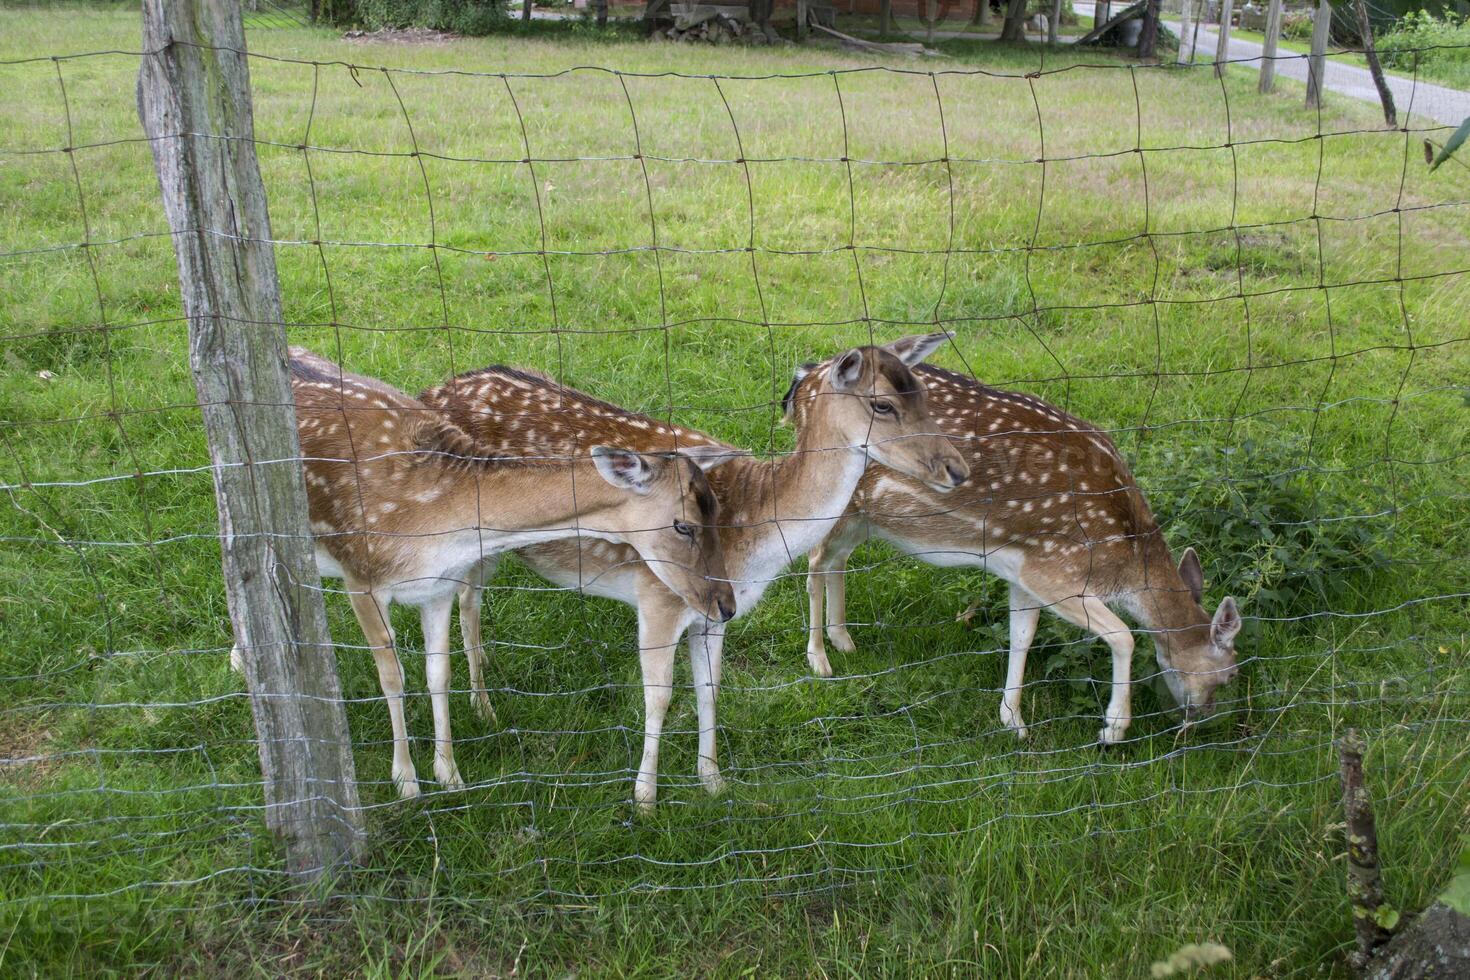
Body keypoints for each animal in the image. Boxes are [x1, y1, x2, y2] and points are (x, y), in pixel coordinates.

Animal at [263, 348, 735, 799]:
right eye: (683, 525)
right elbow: (392, 677)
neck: (430, 522)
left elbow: (438, 673)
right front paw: (406, 783)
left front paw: (450, 777)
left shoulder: (438, 585)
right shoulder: (360, 577)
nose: (726, 605)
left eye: (718, 513)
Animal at [420, 333, 976, 811]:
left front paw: (713, 781)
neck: (753, 546)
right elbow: (660, 697)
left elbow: (711, 688)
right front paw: (645, 799)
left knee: (470, 599)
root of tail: (432, 390)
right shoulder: (659, 598)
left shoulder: (716, 612)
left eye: (924, 392)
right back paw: (475, 724)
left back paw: (485, 689)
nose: (956, 468)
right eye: (882, 404)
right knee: (462, 604)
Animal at [805, 359, 1240, 743]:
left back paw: (843, 638)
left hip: (866, 519)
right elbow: (1124, 635)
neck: (1126, 555)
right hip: (837, 504)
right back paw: (819, 658)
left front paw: (1012, 720)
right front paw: (1113, 728)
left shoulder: (1023, 570)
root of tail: (807, 380)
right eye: (1230, 672)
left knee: (836, 559)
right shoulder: (1054, 571)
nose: (1203, 717)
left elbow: (1022, 636)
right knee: (814, 561)